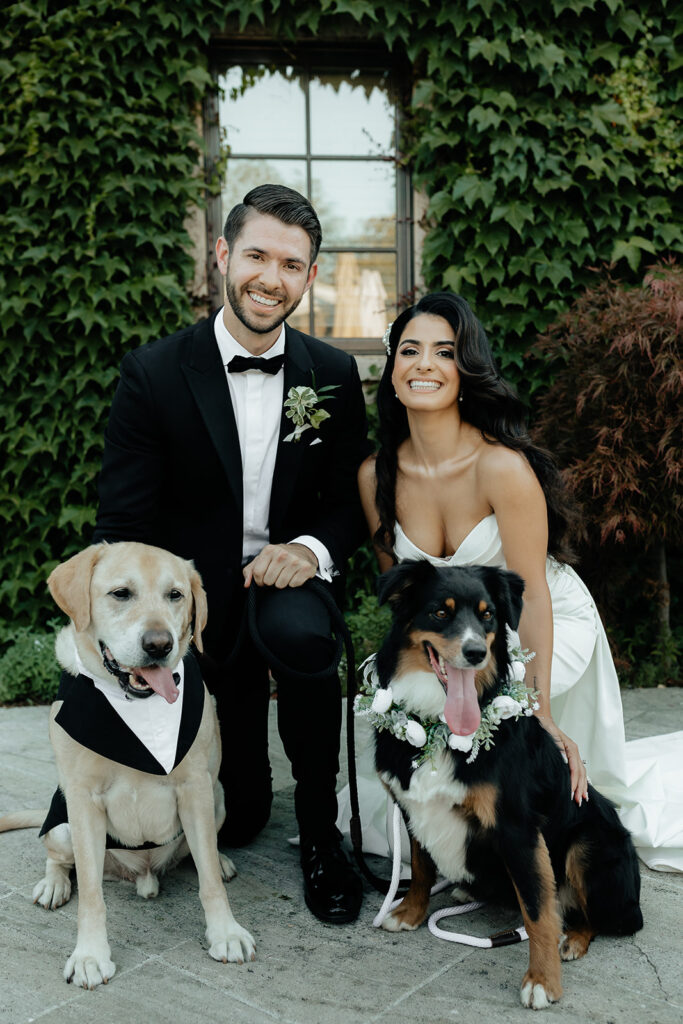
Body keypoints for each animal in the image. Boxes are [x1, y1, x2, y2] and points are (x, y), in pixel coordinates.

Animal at [370, 565, 643, 1011]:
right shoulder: (413, 807)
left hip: (589, 844)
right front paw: (410, 912)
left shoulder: (517, 828)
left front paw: (543, 981)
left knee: (605, 917)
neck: (441, 727)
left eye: (488, 616)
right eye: (440, 612)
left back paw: (574, 939)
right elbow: (423, 866)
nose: (475, 652)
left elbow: (537, 910)